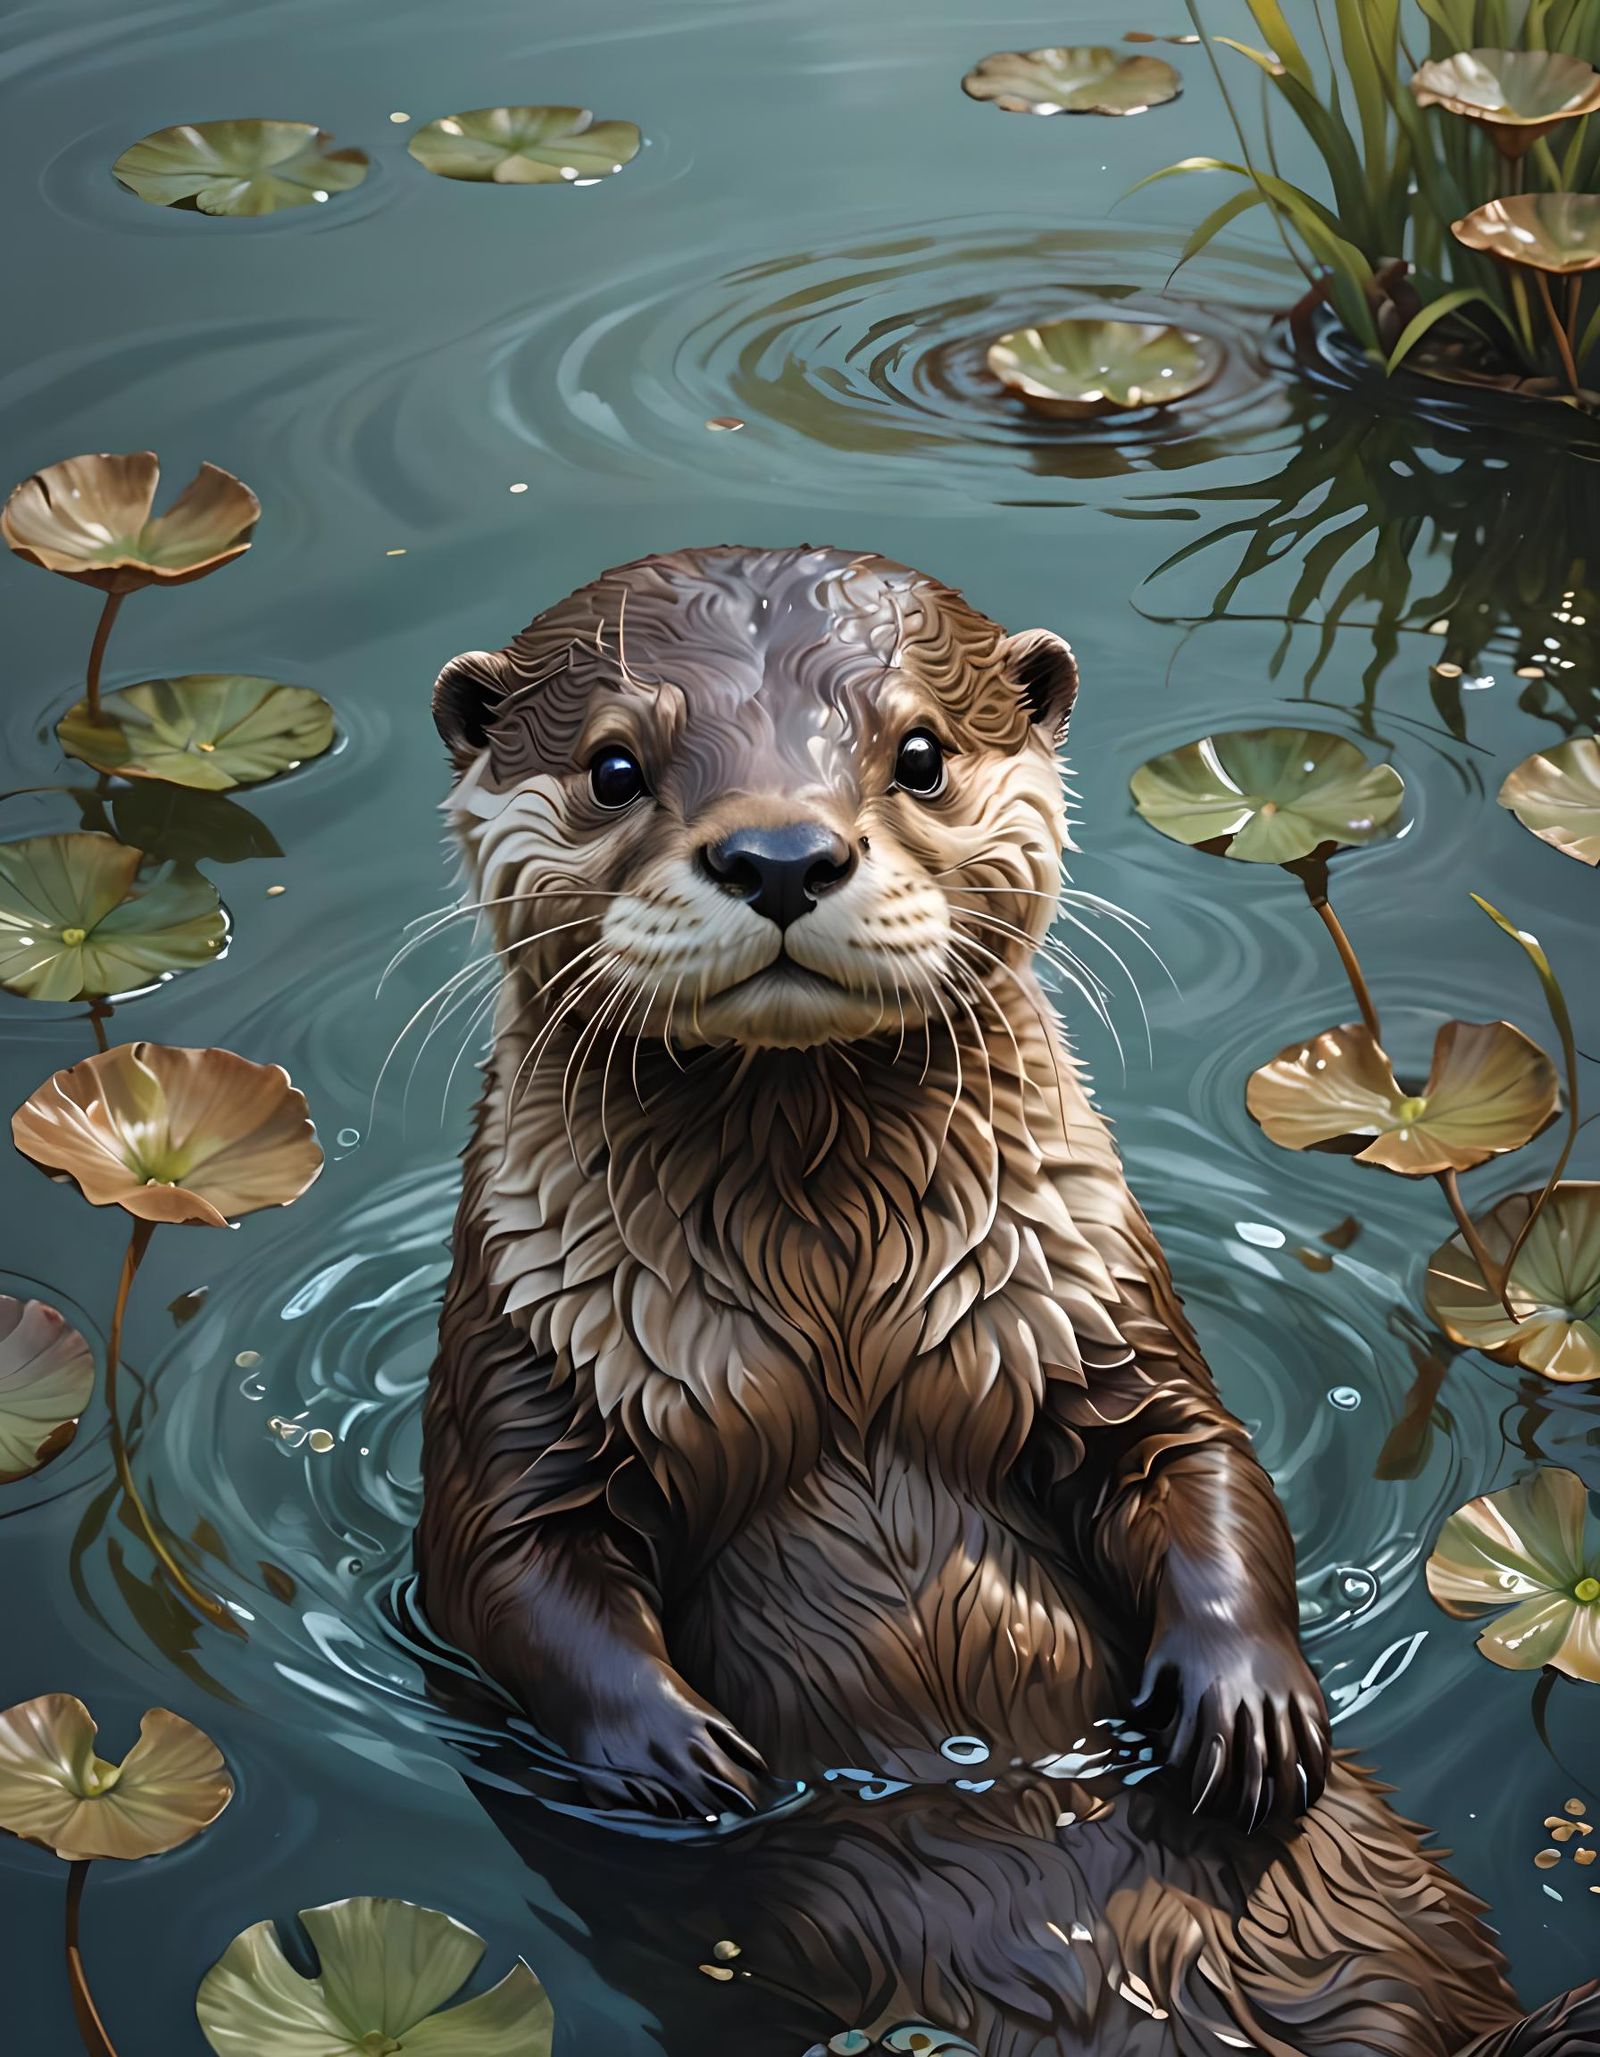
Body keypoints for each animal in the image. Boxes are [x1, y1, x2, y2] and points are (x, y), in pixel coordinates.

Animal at [417, 545, 1598, 2055]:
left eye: (919, 751)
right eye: (614, 766)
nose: (782, 854)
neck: (834, 1302)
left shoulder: (1091, 1299)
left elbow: (1199, 1458)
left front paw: (1248, 1701)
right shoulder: (532, 1348)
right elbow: (505, 1563)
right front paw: (675, 1755)